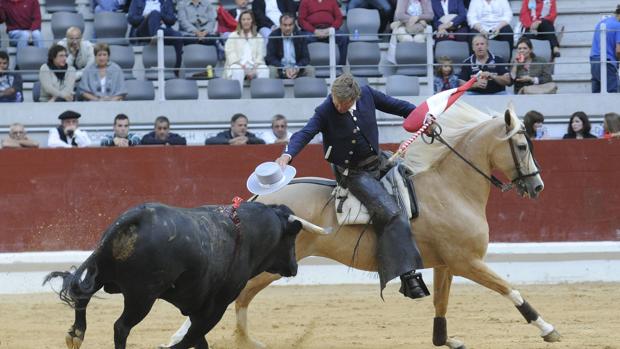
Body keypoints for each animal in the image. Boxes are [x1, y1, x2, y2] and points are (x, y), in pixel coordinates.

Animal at [44, 201, 306, 348]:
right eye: (291, 237)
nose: (294, 267)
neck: (246, 233)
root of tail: (137, 217)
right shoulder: (216, 307)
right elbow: (191, 338)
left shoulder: (197, 306)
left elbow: (198, 340)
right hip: (142, 297)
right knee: (121, 326)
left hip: (103, 271)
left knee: (82, 294)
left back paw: (76, 335)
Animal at [170, 100, 560, 346]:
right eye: (522, 145)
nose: (538, 186)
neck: (450, 188)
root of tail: (259, 201)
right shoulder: (467, 261)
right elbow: (510, 289)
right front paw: (547, 328)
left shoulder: (446, 264)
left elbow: (441, 306)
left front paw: (447, 340)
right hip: (267, 267)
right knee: (234, 297)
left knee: (241, 299)